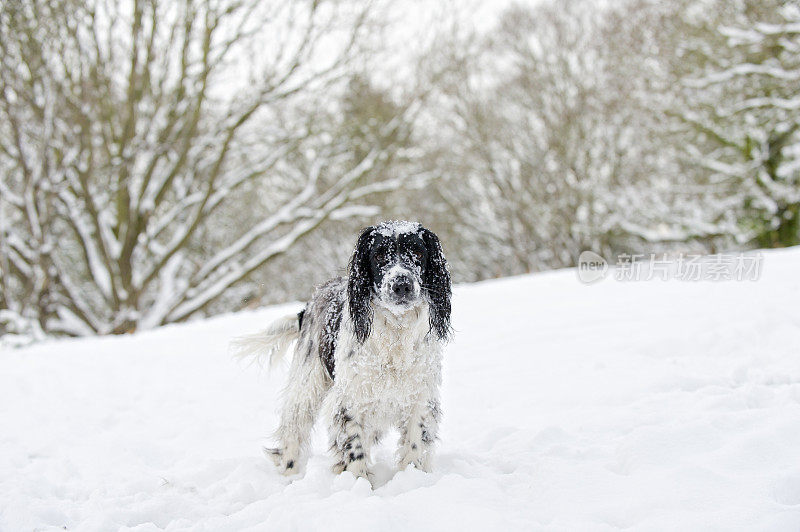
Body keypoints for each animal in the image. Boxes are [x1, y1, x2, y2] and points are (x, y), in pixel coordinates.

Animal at [236, 220, 450, 482]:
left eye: (418, 252)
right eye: (379, 255)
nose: (401, 284)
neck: (395, 333)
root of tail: (311, 300)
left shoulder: (420, 398)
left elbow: (415, 446)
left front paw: (412, 480)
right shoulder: (350, 400)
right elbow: (354, 449)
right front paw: (358, 484)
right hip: (306, 384)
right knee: (293, 430)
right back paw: (290, 473)